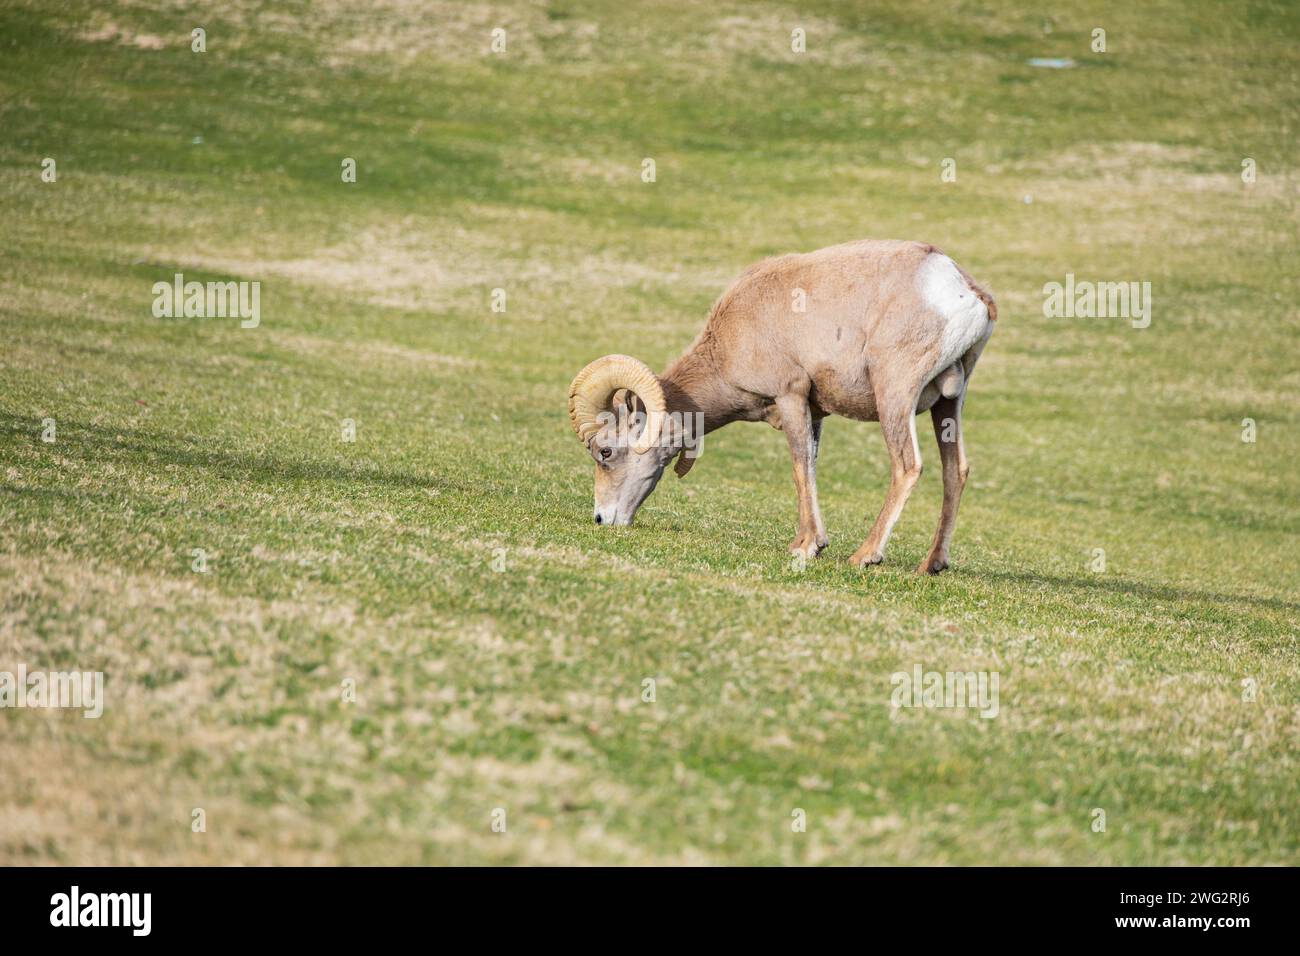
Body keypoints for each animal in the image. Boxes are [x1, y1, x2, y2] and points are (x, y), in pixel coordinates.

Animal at [567, 239, 996, 574]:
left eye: (605, 452)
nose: (602, 519)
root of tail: (962, 291)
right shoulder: (815, 413)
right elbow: (812, 469)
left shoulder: (790, 396)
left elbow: (799, 467)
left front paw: (807, 547)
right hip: (949, 404)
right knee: (955, 471)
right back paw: (932, 564)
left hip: (894, 395)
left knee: (907, 466)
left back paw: (865, 555)